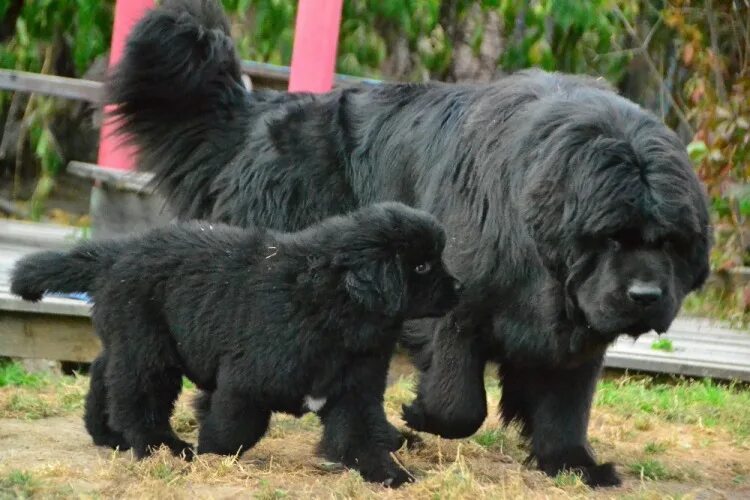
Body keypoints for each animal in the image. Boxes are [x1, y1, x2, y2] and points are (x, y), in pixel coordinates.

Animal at [11, 201, 462, 486]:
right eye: (422, 266)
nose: (461, 288)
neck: (331, 303)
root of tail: (117, 253)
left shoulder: (354, 390)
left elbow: (360, 436)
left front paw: (390, 474)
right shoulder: (247, 382)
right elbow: (234, 427)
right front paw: (211, 455)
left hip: (135, 340)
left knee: (106, 373)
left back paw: (108, 434)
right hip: (150, 351)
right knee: (137, 398)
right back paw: (165, 448)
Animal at [106, 0, 712, 486]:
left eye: (672, 244)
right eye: (611, 237)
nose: (645, 296)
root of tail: (259, 115)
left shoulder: (575, 329)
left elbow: (566, 404)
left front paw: (575, 464)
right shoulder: (458, 306)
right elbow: (459, 403)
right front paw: (420, 417)